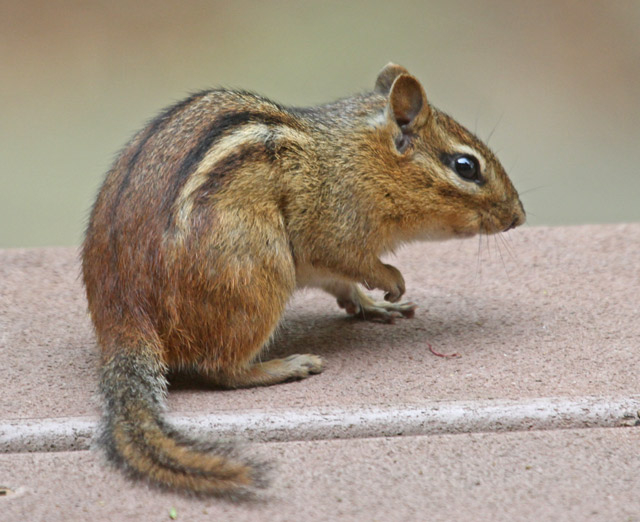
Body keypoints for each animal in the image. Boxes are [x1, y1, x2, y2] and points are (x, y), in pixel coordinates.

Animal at [82, 63, 525, 498]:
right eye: (466, 166)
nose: (518, 216)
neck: (357, 158)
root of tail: (123, 316)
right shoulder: (334, 226)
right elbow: (354, 259)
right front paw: (391, 279)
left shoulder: (320, 265)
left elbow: (342, 282)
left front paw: (374, 304)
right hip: (258, 274)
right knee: (220, 369)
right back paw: (287, 365)